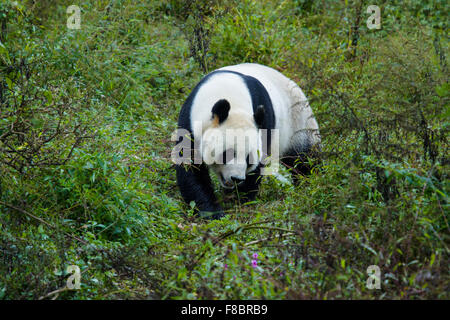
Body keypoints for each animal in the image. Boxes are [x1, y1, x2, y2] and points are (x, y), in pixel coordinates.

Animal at [175, 62, 320, 219]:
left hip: (298, 123)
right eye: (227, 154)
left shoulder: (263, 123)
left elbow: (256, 169)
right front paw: (212, 211)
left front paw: (241, 201)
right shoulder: (189, 120)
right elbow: (190, 166)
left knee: (303, 159)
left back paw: (310, 183)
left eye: (248, 158)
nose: (236, 178)